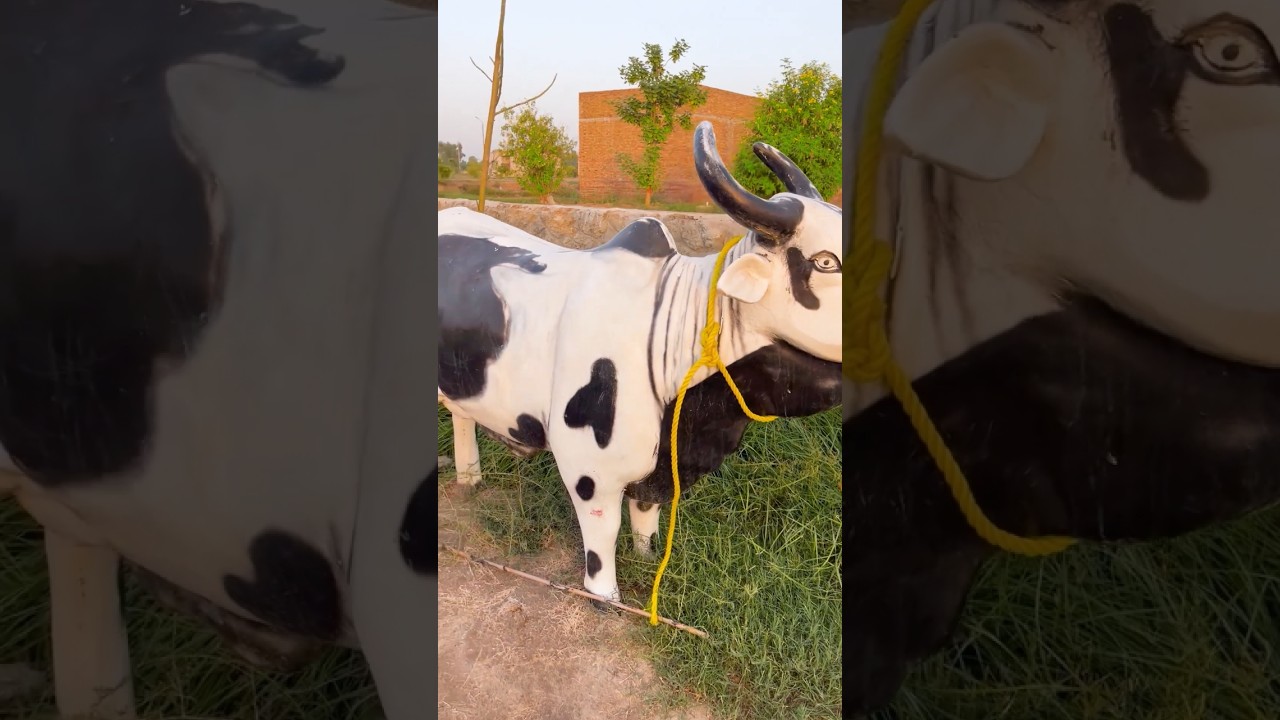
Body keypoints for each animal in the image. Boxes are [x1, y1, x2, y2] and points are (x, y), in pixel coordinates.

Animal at [437, 121, 843, 605]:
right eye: (825, 262)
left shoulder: (664, 464)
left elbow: (647, 509)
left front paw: (647, 555)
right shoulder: (588, 467)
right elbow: (603, 530)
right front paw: (604, 595)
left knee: (461, 416)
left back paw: (470, 477)